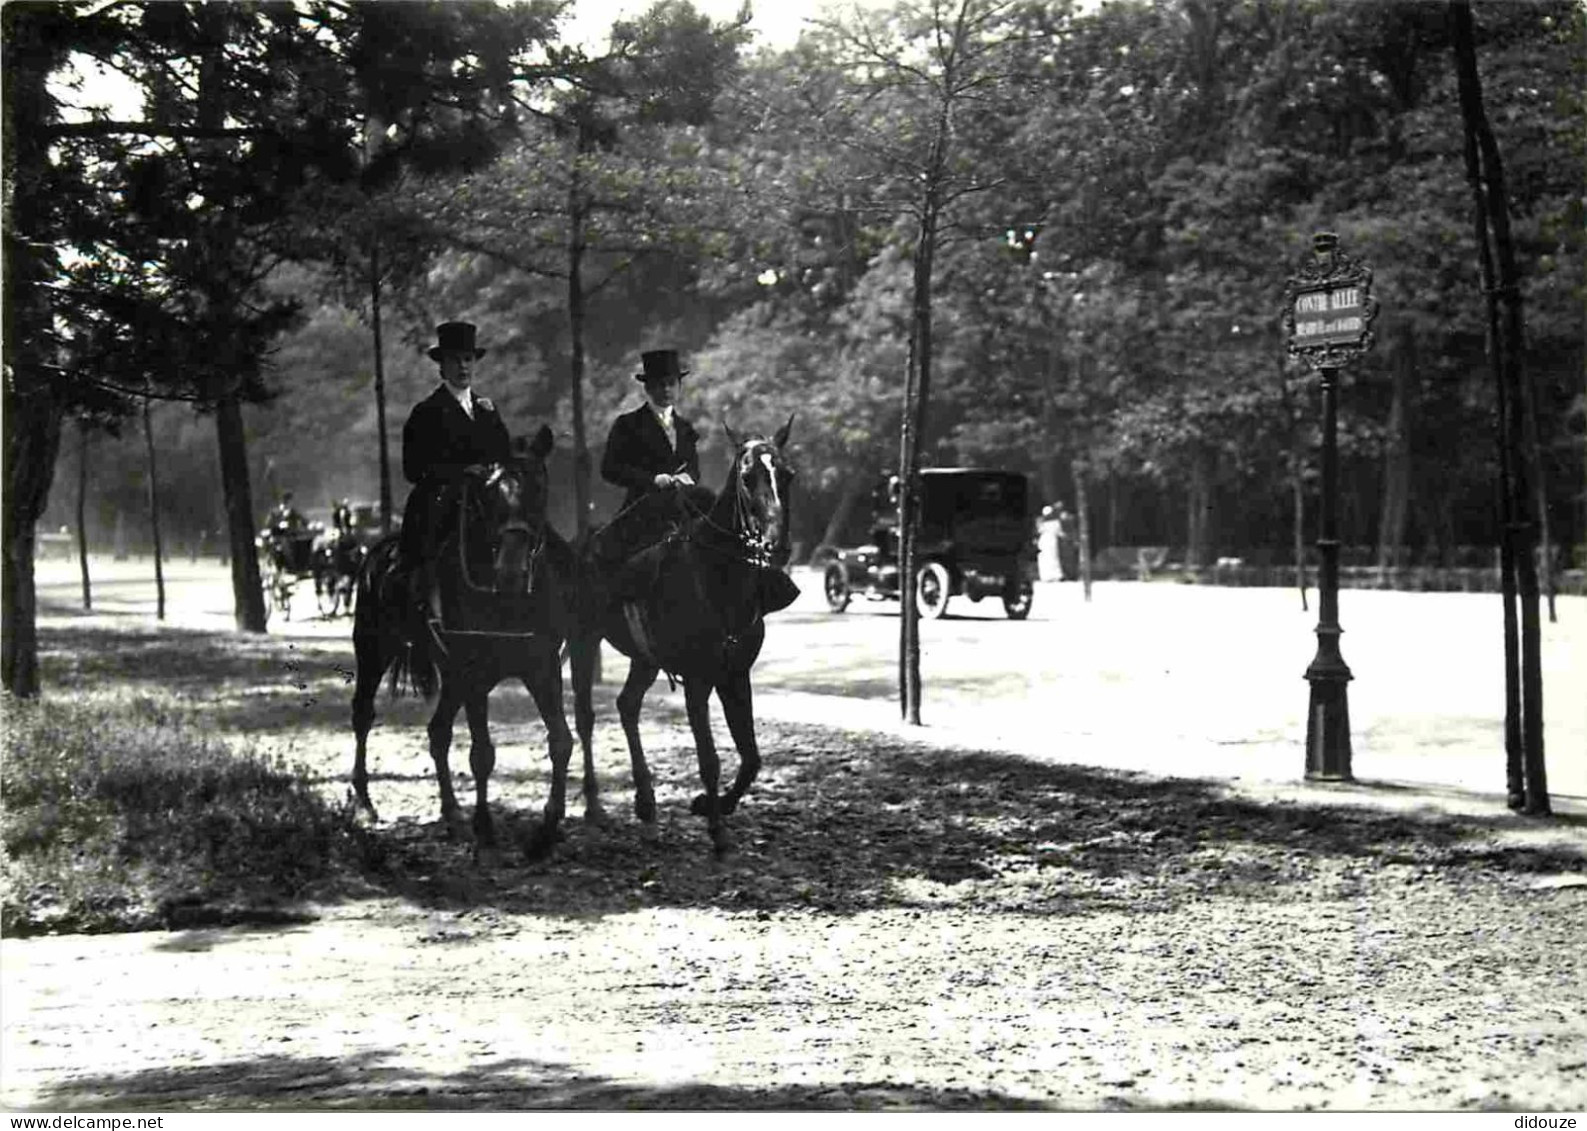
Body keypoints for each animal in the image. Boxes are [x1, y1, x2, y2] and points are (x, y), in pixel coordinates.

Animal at [350, 425, 580, 856]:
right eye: (488, 494)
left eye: (539, 487)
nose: (511, 572)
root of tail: (380, 550)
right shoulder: (475, 675)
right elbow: (482, 753)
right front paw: (485, 827)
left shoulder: (542, 669)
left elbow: (560, 740)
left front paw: (547, 828)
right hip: (374, 651)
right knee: (362, 715)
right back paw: (365, 803)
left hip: (451, 675)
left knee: (438, 732)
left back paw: (452, 811)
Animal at [571, 418, 799, 850]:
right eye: (747, 478)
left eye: (788, 475)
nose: (777, 545)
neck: (719, 575)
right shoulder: (698, 680)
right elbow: (709, 758)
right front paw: (717, 829)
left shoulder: (735, 675)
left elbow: (751, 756)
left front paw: (713, 805)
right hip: (583, 640)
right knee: (585, 716)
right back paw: (594, 805)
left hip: (644, 659)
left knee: (627, 706)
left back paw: (646, 804)